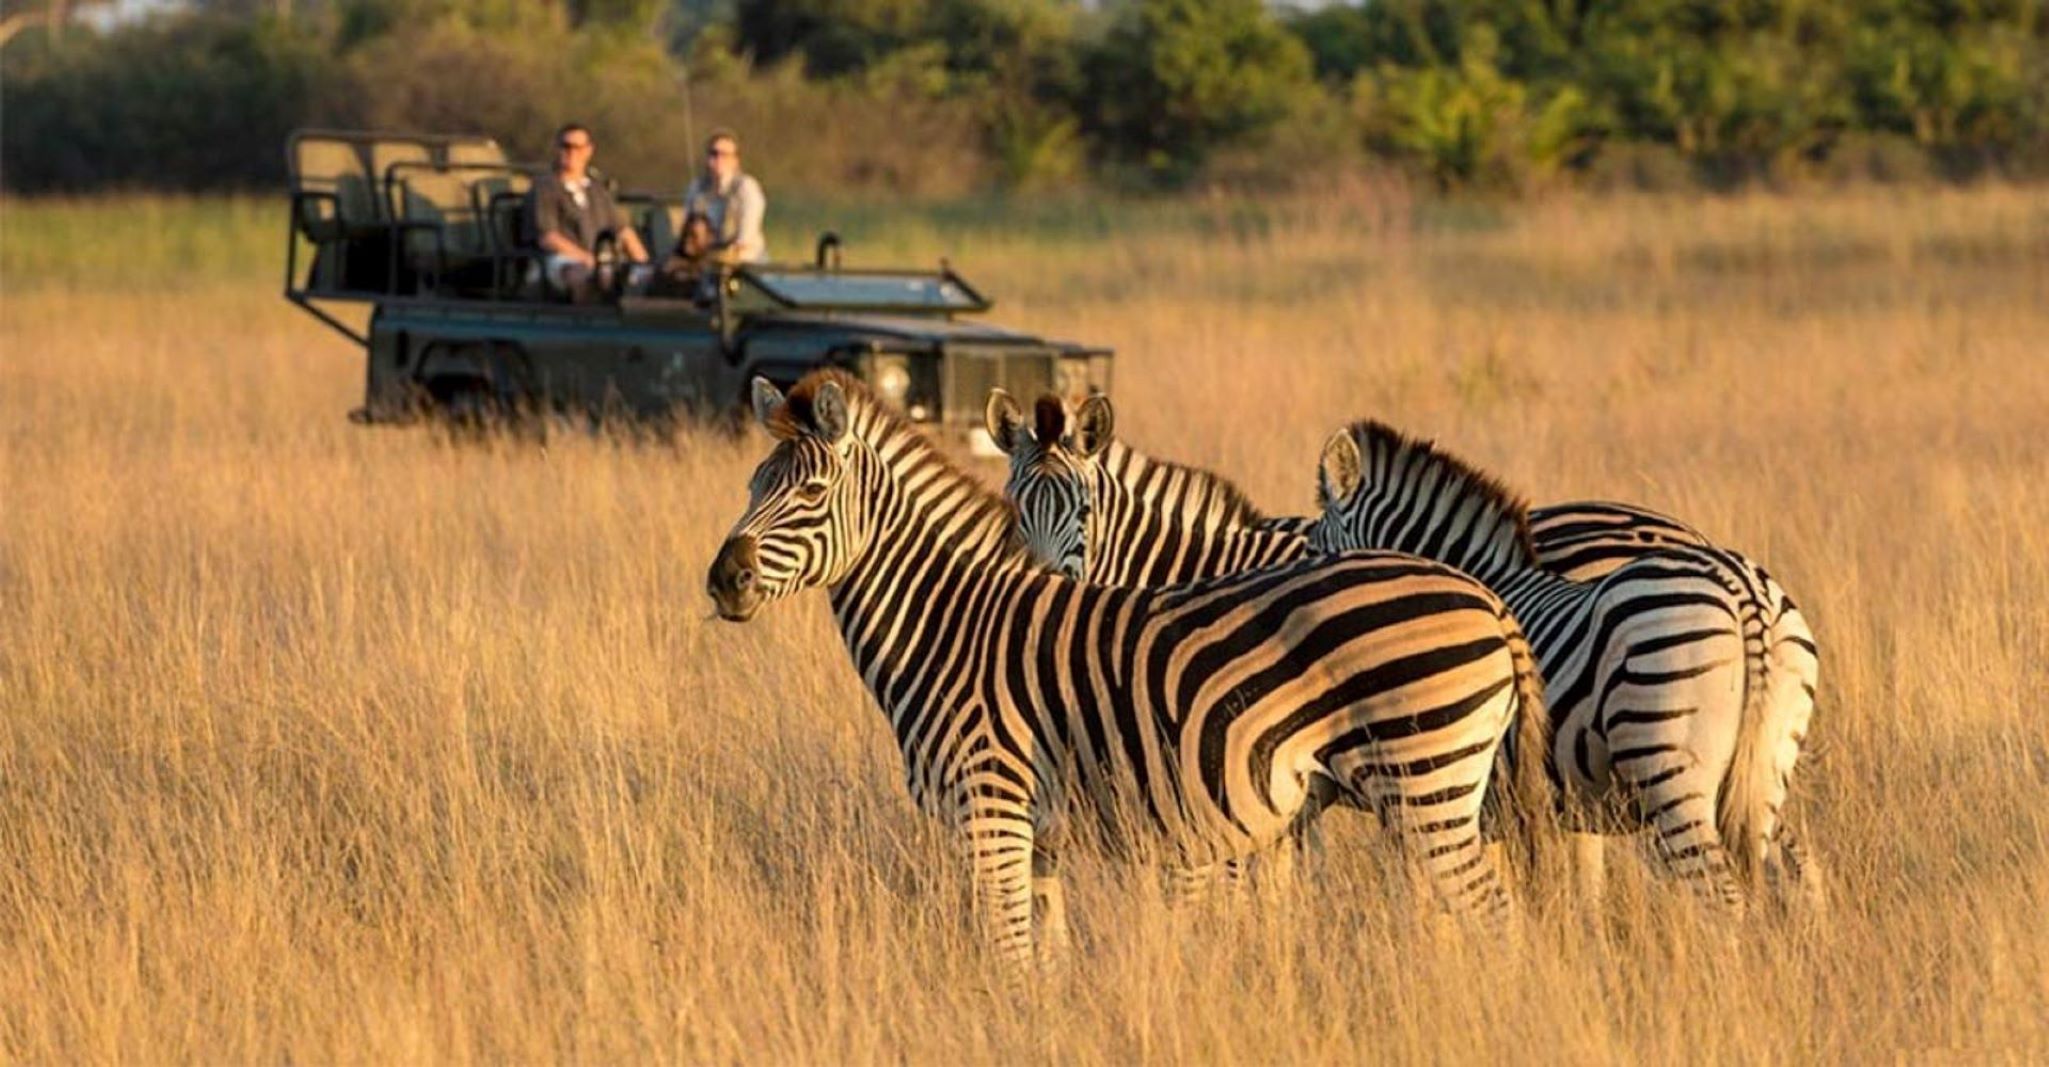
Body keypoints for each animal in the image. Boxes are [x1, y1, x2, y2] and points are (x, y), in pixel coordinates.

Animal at [704, 370, 1549, 970]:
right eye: (751, 487)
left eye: (811, 493)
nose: (723, 580)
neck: (949, 623)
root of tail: (1486, 597)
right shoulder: (1038, 837)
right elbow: (1041, 961)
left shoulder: (991, 810)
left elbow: (1005, 959)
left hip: (1425, 783)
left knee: (1498, 920)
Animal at [991, 395, 1827, 909]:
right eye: (1011, 509)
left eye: (1085, 510)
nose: (1044, 582)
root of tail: (1739, 583)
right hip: (1757, 765)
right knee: (1793, 866)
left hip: (1669, 763)